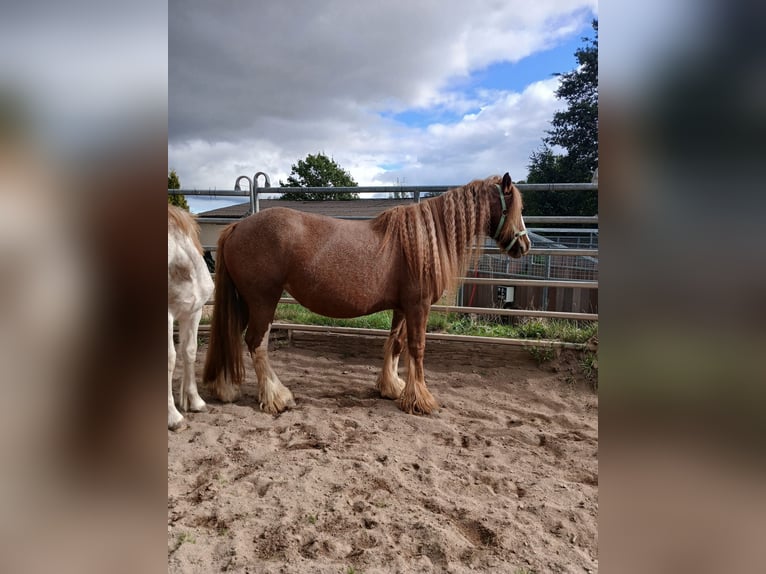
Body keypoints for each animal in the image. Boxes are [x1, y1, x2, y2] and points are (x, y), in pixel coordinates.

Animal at [201, 173, 532, 416]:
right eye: (515, 208)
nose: (524, 245)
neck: (423, 241)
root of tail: (236, 227)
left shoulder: (402, 307)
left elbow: (395, 345)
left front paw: (392, 388)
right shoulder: (419, 307)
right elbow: (417, 348)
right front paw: (421, 400)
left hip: (246, 302)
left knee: (233, 336)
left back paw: (227, 388)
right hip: (263, 301)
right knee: (256, 343)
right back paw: (276, 397)